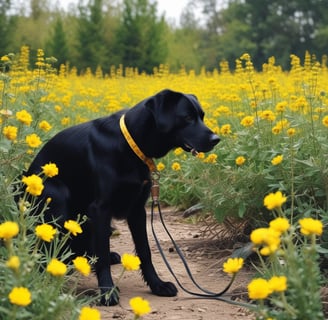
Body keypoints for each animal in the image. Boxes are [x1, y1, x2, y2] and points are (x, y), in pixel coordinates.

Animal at [23, 89, 220, 304]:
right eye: (187, 118)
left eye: (202, 116)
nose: (216, 139)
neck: (129, 144)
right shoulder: (100, 209)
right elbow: (101, 254)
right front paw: (107, 291)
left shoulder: (138, 210)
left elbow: (145, 251)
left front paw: (157, 285)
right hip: (58, 204)